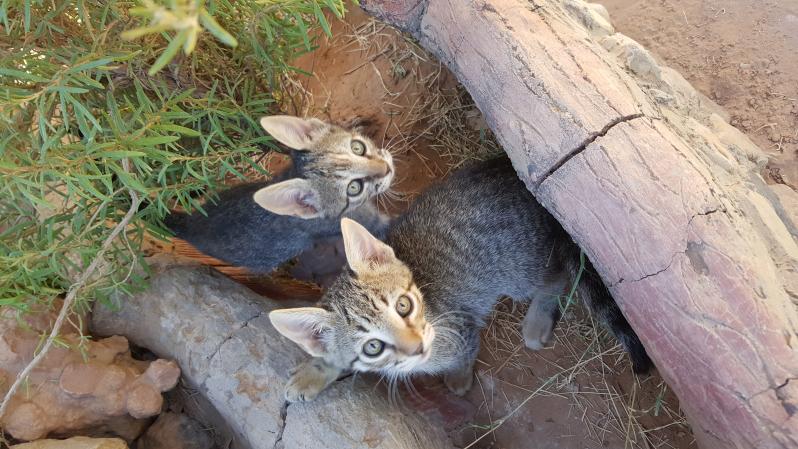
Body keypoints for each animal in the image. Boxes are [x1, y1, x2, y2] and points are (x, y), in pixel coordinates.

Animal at [272, 156, 652, 400]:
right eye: (372, 347)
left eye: (403, 306)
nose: (417, 345)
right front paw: (315, 372)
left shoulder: (462, 330)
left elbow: (464, 354)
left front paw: (458, 377)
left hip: (519, 267)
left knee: (556, 276)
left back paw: (538, 318)